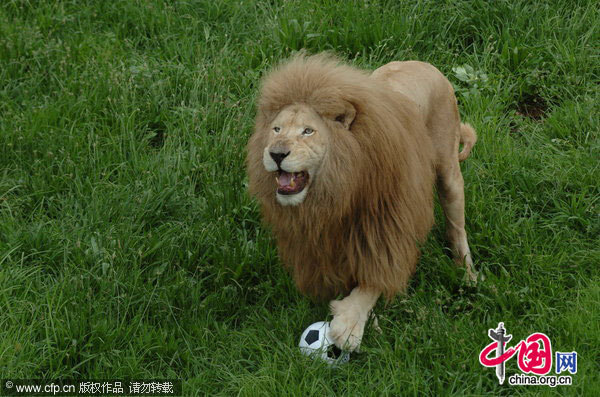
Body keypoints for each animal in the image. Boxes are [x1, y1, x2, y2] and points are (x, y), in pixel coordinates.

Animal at [245, 53, 478, 350]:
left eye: (308, 131)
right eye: (276, 129)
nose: (276, 153)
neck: (336, 190)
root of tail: (426, 65)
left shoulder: (389, 225)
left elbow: (375, 279)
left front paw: (349, 324)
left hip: (448, 173)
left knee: (457, 228)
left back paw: (467, 275)